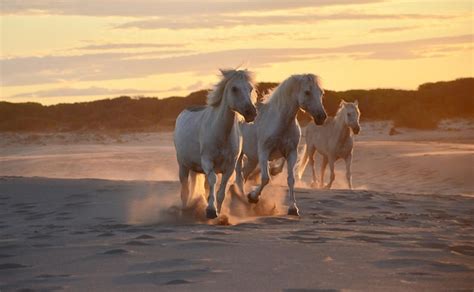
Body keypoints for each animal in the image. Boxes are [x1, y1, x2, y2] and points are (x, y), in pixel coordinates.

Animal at [173, 69, 258, 219]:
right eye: (234, 88)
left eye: (250, 88)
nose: (251, 113)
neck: (221, 134)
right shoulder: (207, 161)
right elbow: (213, 180)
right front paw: (211, 210)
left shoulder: (230, 166)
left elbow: (221, 190)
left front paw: (217, 211)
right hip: (183, 165)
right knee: (185, 191)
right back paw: (184, 212)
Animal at [236, 74, 328, 216]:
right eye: (307, 92)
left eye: (321, 93)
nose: (321, 117)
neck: (281, 122)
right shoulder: (264, 152)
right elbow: (265, 178)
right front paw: (253, 197)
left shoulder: (291, 153)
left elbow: (291, 179)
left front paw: (293, 208)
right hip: (240, 155)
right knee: (239, 176)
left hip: (252, 159)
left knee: (244, 174)